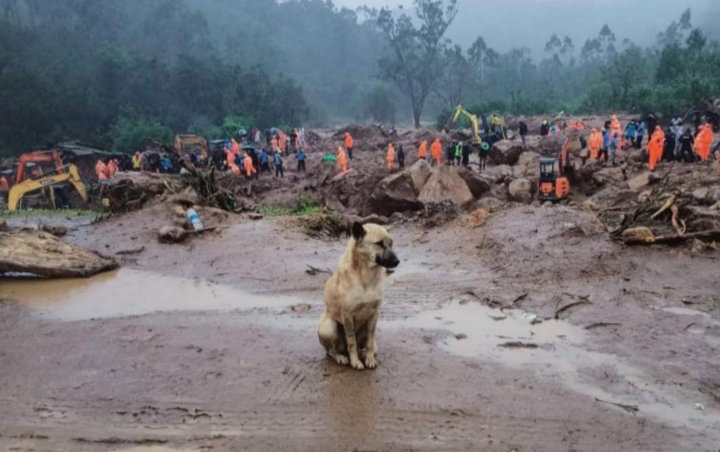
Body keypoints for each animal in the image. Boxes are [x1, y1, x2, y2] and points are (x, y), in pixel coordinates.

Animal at [318, 221, 400, 370]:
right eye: (379, 243)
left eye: (391, 243)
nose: (397, 261)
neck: (366, 276)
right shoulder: (347, 314)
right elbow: (351, 341)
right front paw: (355, 362)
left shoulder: (375, 314)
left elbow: (370, 340)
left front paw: (369, 359)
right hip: (329, 327)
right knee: (331, 351)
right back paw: (341, 357)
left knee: (367, 346)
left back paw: (363, 353)